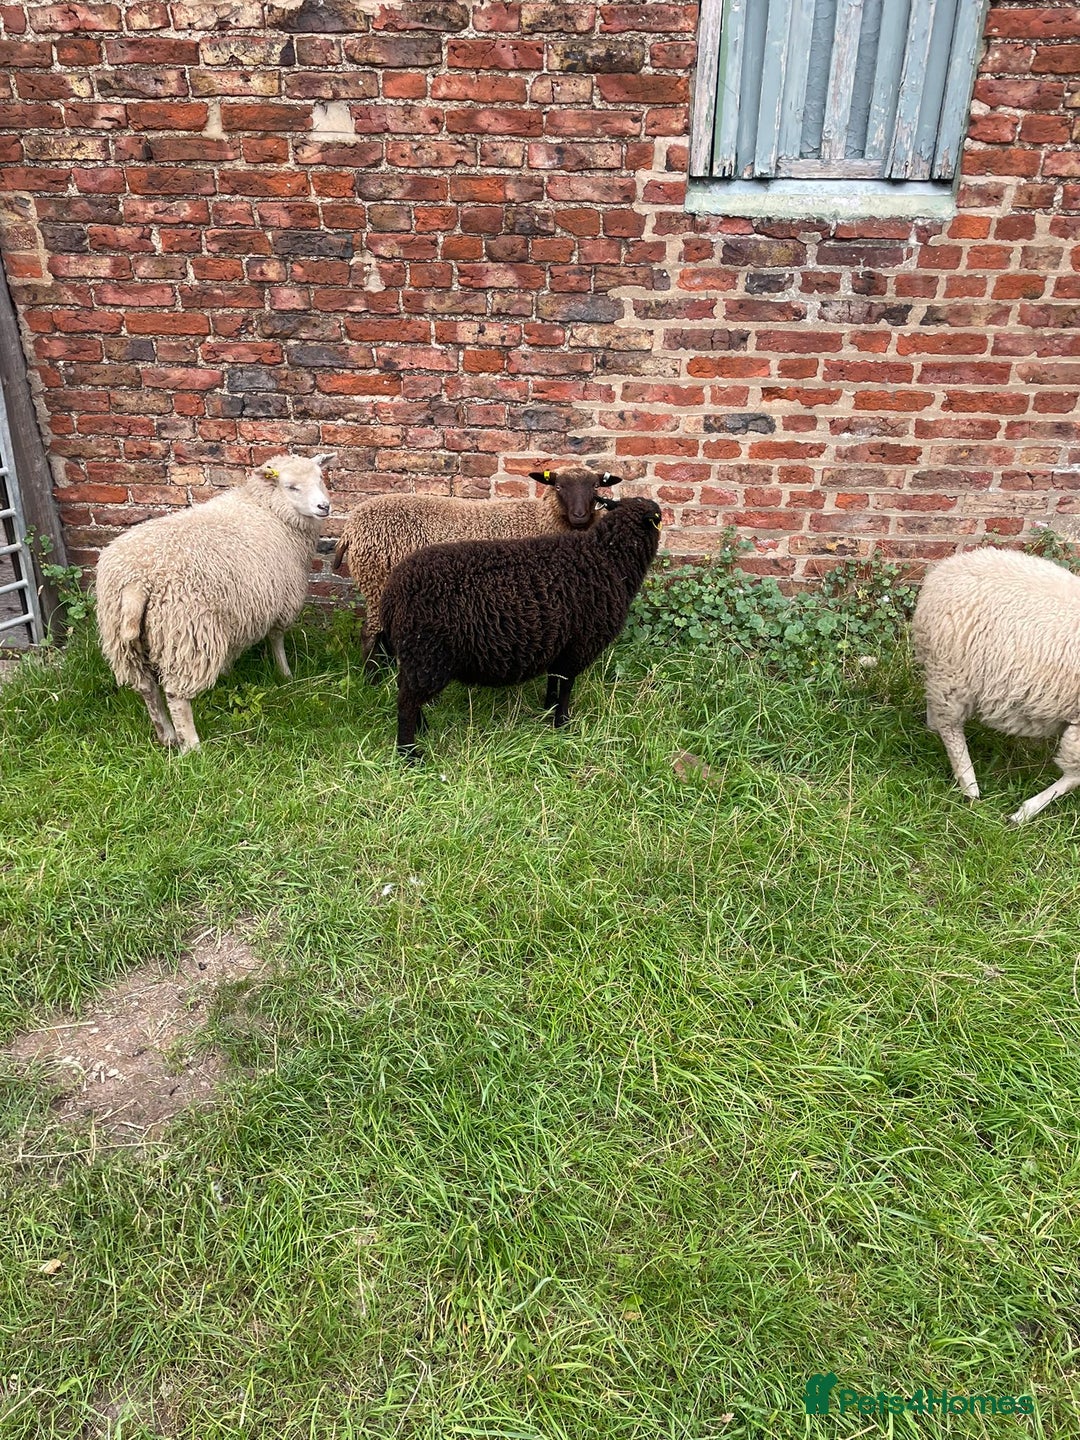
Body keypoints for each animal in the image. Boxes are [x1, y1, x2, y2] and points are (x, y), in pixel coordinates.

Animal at [95, 452, 334, 752]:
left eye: (320, 478)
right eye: (292, 487)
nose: (324, 506)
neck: (267, 508)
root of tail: (138, 582)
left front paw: (228, 674)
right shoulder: (281, 600)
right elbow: (276, 639)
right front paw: (285, 674)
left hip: (124, 641)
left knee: (146, 688)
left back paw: (167, 736)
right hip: (186, 633)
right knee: (175, 694)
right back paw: (192, 746)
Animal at [331, 466, 622, 661]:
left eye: (595, 487)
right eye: (559, 486)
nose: (580, 515)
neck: (539, 520)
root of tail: (351, 528)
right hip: (376, 582)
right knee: (370, 633)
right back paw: (372, 681)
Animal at [379, 495, 662, 760]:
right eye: (658, 518)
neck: (610, 557)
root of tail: (392, 592)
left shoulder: (561, 644)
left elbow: (554, 678)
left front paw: (548, 707)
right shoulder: (578, 645)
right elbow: (566, 684)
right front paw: (562, 723)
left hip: (415, 655)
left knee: (405, 690)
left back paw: (423, 729)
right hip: (428, 653)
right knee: (406, 703)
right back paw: (409, 754)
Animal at [911, 543, 1080, 824]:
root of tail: (944, 569)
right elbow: (1075, 776)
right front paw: (1025, 812)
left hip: (941, 665)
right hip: (954, 671)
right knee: (951, 728)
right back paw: (969, 785)